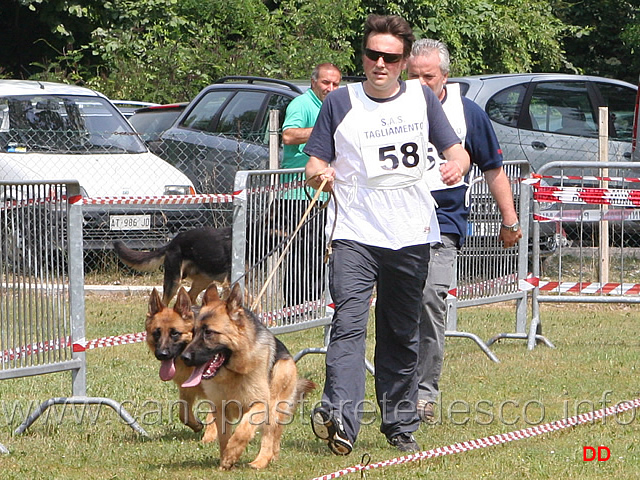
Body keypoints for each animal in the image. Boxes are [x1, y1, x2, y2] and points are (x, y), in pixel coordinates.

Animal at [146, 284, 218, 442]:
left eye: (175, 333)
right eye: (156, 333)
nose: (162, 355)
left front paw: (209, 437)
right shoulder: (186, 390)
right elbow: (183, 414)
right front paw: (197, 425)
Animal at [180, 284, 316, 470]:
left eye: (209, 333)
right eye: (193, 332)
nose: (184, 358)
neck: (233, 373)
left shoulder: (260, 405)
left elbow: (243, 430)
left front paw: (231, 454)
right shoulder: (220, 408)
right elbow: (224, 438)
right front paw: (225, 461)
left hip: (274, 402)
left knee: (269, 436)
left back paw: (261, 461)